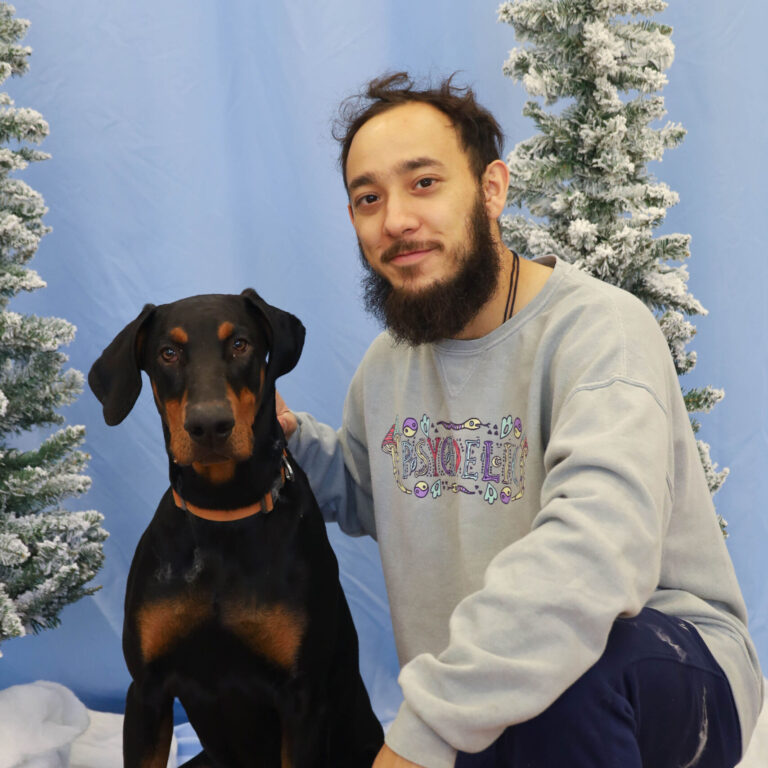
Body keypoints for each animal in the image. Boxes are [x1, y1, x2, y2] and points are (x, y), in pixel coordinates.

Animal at [89, 292, 384, 764]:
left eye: (240, 344)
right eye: (167, 353)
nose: (209, 426)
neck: (223, 512)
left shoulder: (302, 700)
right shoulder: (146, 690)